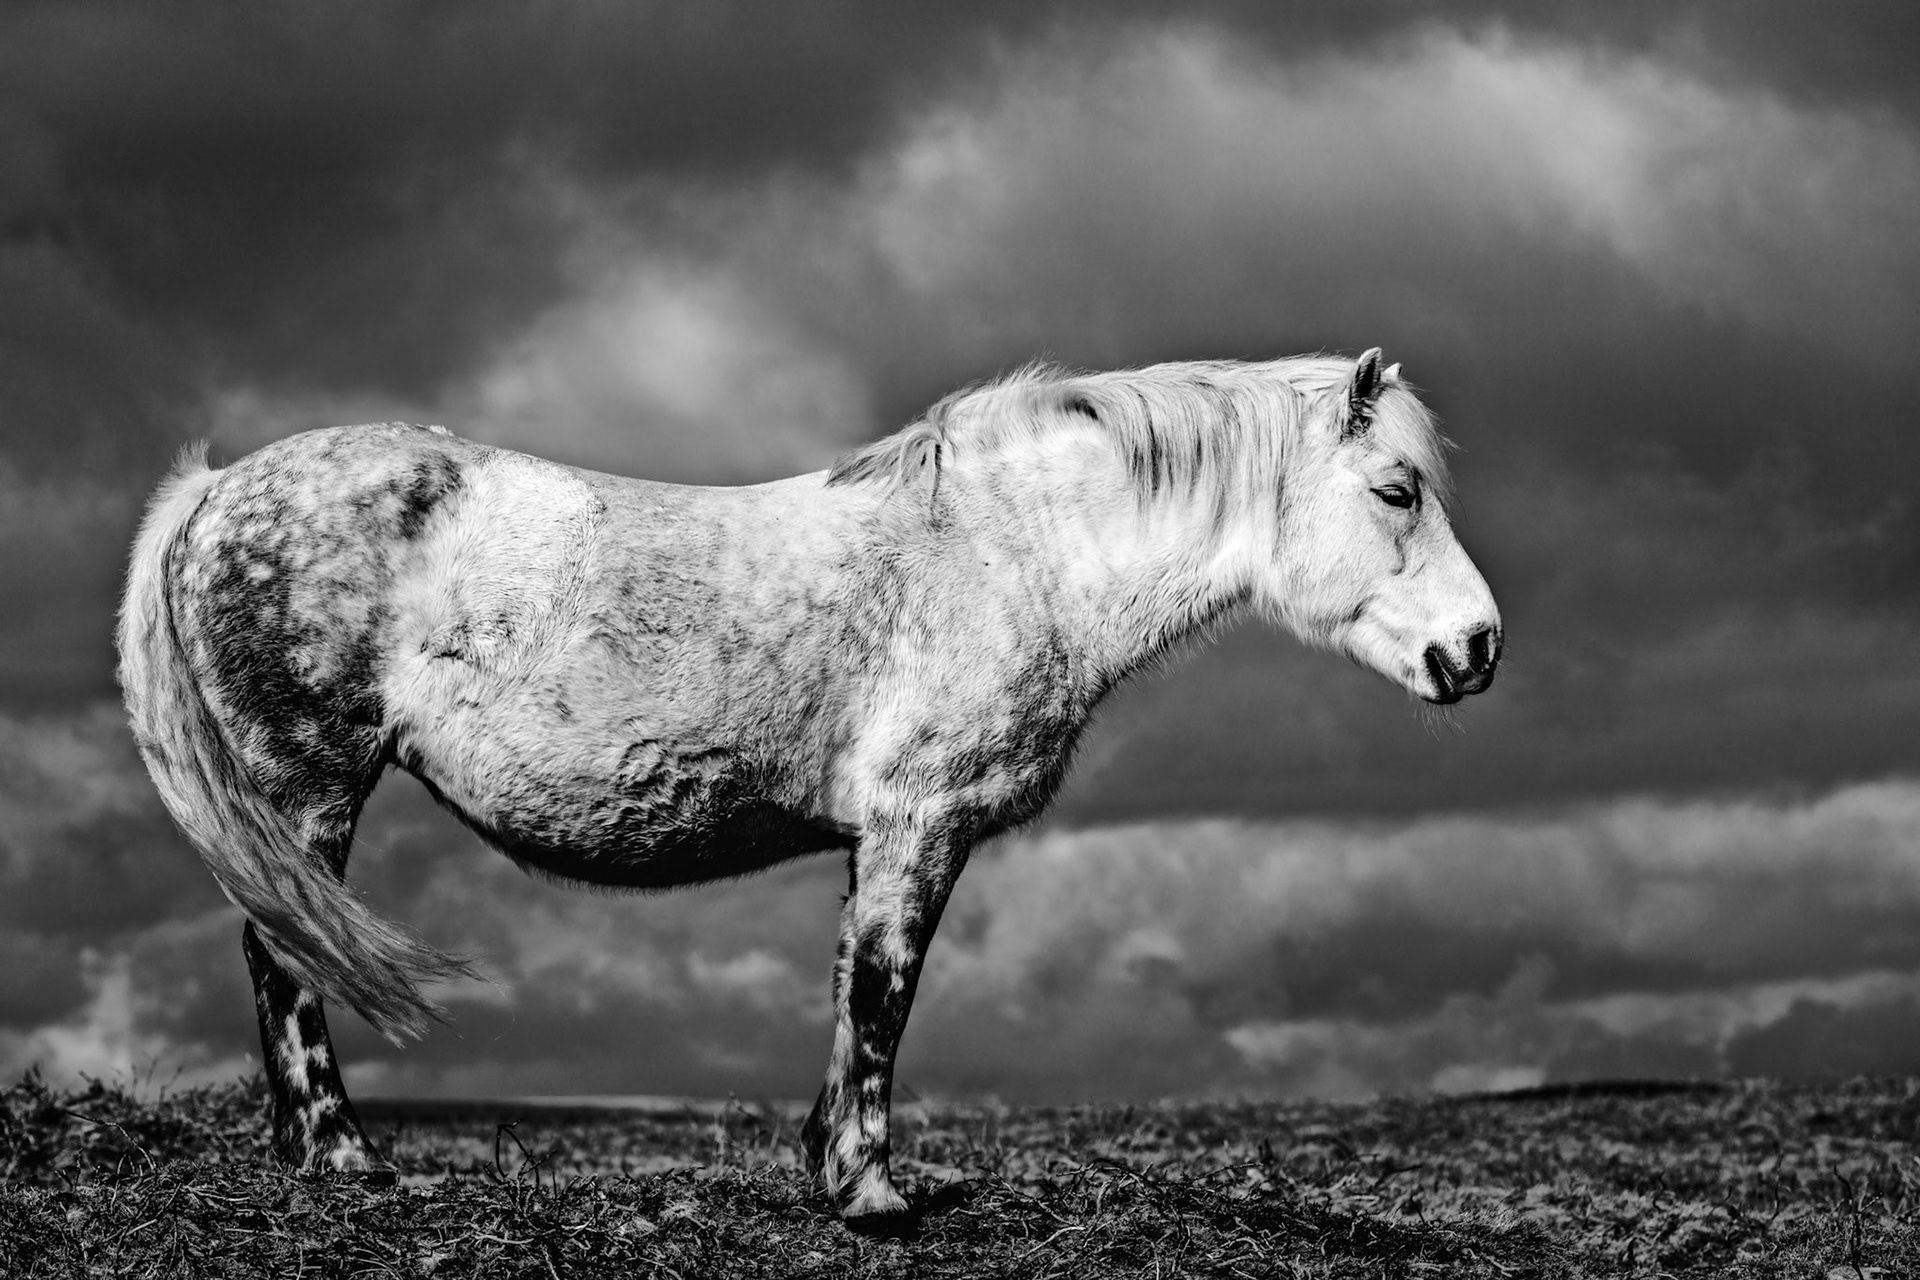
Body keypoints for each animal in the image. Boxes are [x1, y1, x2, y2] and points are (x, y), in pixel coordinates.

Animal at [116, 348, 1500, 1224]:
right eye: (1397, 489)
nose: (1477, 648)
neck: (1009, 551)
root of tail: (216, 489)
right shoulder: (919, 822)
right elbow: (887, 991)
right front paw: (874, 1192)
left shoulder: (877, 836)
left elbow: (852, 989)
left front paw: (832, 1168)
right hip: (305, 788)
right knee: (287, 960)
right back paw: (344, 1156)